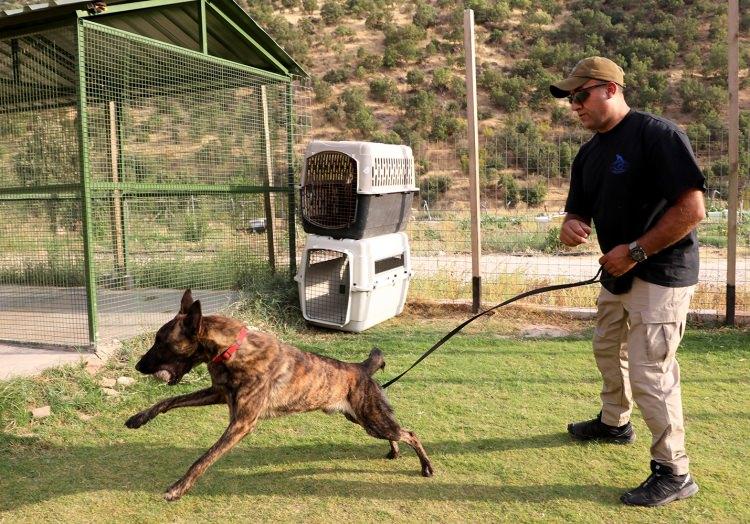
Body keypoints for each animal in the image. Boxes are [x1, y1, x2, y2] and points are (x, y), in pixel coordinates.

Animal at [126, 289, 433, 501]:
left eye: (162, 342)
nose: (139, 366)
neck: (231, 350)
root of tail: (359, 368)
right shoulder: (217, 394)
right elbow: (169, 401)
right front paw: (138, 418)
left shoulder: (241, 424)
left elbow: (204, 458)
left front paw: (178, 488)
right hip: (363, 420)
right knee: (397, 433)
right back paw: (394, 452)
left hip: (372, 419)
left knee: (410, 433)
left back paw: (426, 467)